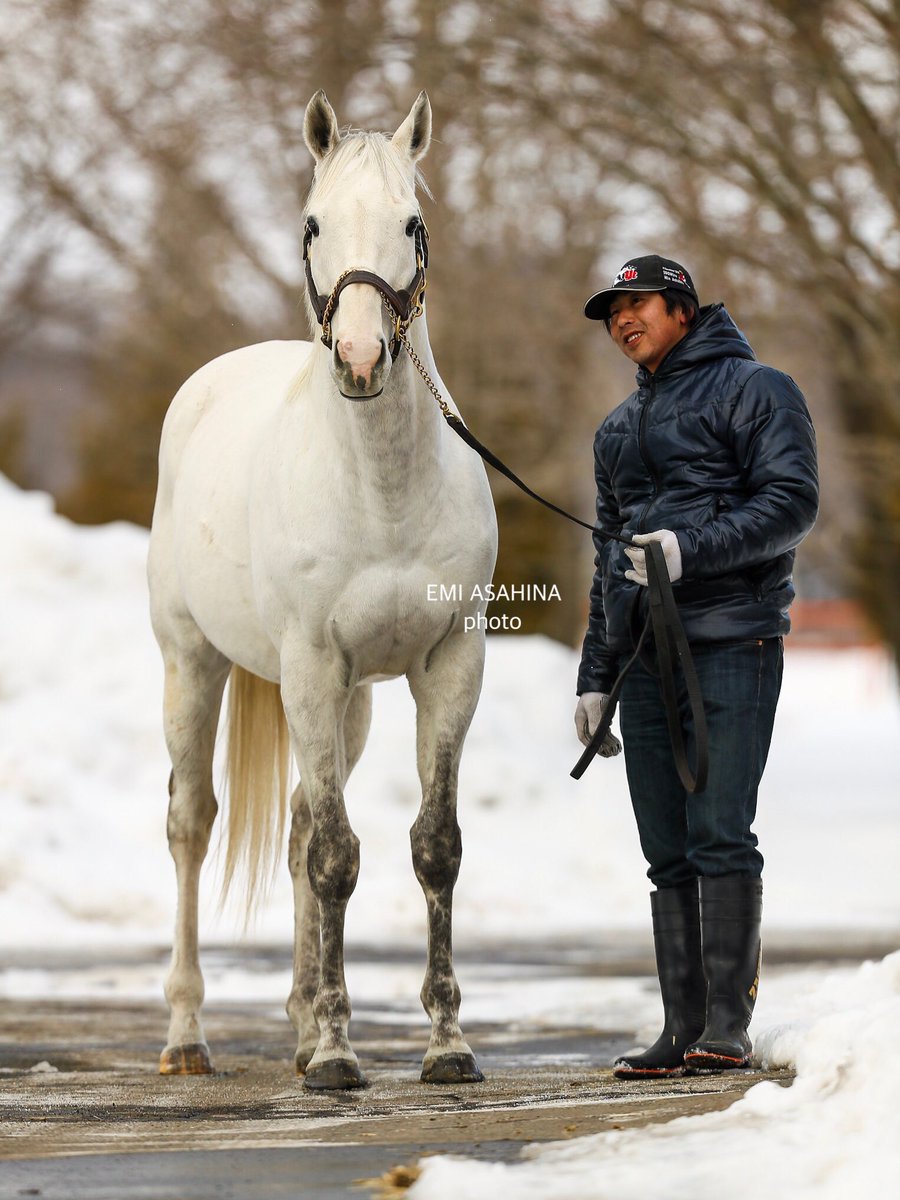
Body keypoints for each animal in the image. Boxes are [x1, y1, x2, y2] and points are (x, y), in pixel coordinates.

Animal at [148, 93, 501, 1089]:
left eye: (413, 224)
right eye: (313, 224)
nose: (359, 357)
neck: (381, 488)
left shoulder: (448, 666)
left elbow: (432, 846)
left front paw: (445, 1045)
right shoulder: (308, 665)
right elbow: (338, 856)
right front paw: (342, 1055)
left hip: (350, 703)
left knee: (305, 817)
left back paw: (302, 1025)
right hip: (194, 665)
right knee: (192, 824)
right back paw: (189, 1035)